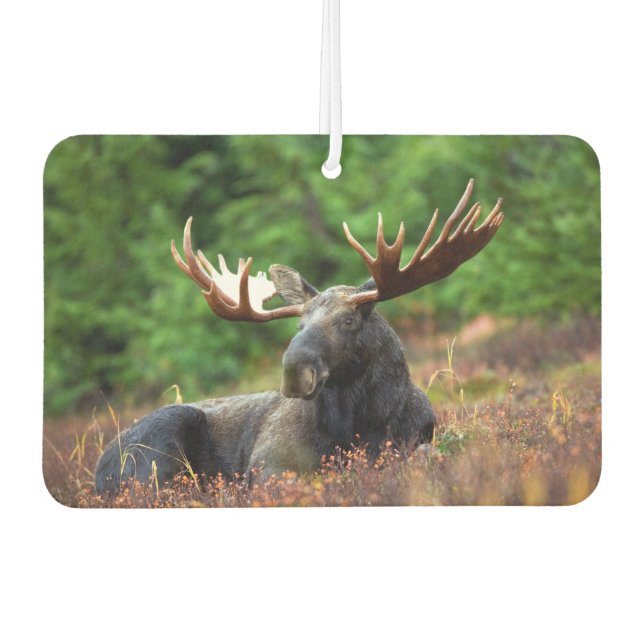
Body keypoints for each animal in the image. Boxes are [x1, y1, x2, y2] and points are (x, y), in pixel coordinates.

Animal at [94, 179, 504, 494]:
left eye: (348, 320)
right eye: (299, 325)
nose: (294, 371)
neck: (363, 424)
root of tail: (98, 470)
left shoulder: (418, 439)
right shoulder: (267, 462)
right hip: (160, 445)